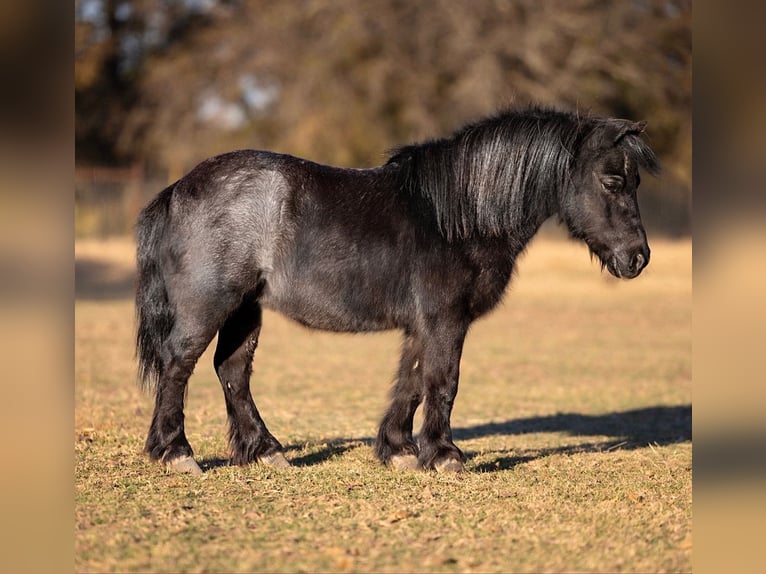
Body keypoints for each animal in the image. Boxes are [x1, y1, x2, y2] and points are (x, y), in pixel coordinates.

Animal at [135, 106, 660, 475]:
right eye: (613, 180)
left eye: (634, 180)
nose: (638, 258)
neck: (461, 215)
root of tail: (178, 189)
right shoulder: (446, 319)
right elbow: (443, 382)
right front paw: (444, 455)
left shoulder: (423, 324)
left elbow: (411, 381)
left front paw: (400, 450)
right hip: (210, 305)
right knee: (179, 366)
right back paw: (177, 454)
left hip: (246, 308)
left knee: (233, 371)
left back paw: (267, 452)